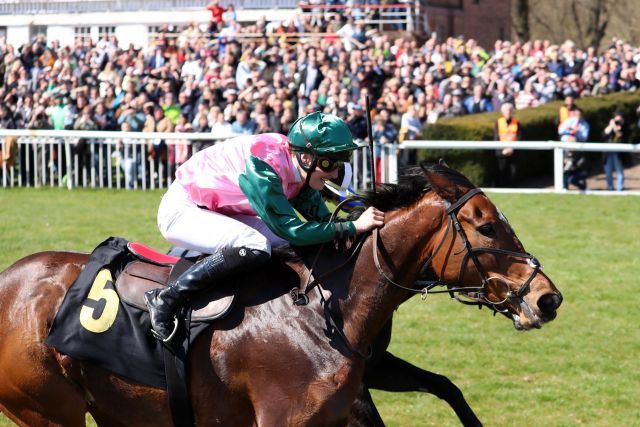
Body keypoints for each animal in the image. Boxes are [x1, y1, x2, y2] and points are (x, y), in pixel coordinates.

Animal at [0, 165, 560, 427]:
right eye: (486, 227)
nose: (547, 298)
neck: (327, 307)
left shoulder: (362, 380)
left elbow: (445, 387)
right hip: (48, 409)